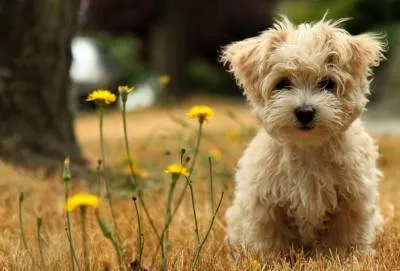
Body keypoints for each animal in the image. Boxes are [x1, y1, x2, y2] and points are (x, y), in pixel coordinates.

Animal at [220, 17, 386, 258]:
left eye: (327, 83)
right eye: (282, 84)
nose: (305, 112)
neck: (308, 147)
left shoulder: (353, 198)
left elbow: (345, 233)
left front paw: (345, 257)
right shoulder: (266, 201)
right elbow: (271, 236)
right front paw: (272, 259)